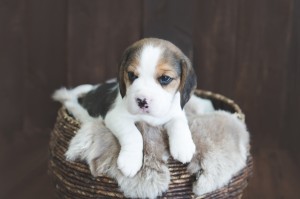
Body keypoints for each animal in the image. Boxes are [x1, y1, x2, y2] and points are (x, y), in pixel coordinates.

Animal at [60, 38, 199, 177]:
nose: (142, 101)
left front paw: (183, 146)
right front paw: (130, 161)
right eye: (131, 75)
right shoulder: (115, 117)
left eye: (165, 78)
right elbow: (133, 134)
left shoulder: (177, 113)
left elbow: (179, 123)